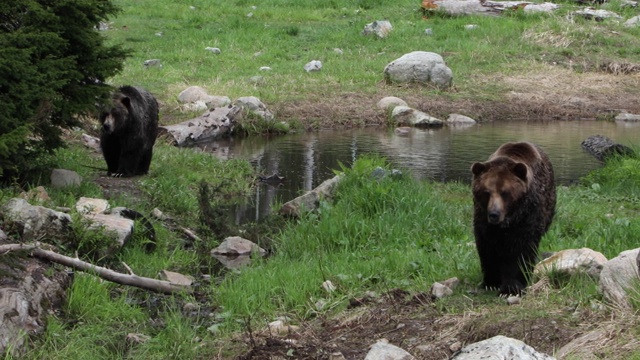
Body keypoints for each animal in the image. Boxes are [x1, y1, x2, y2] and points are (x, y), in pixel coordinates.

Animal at [470, 141, 556, 296]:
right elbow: (486, 246)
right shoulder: (483, 220)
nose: (494, 214)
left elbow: (521, 250)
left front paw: (512, 287)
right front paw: (491, 281)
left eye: (505, 192)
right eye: (486, 192)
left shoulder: (527, 215)